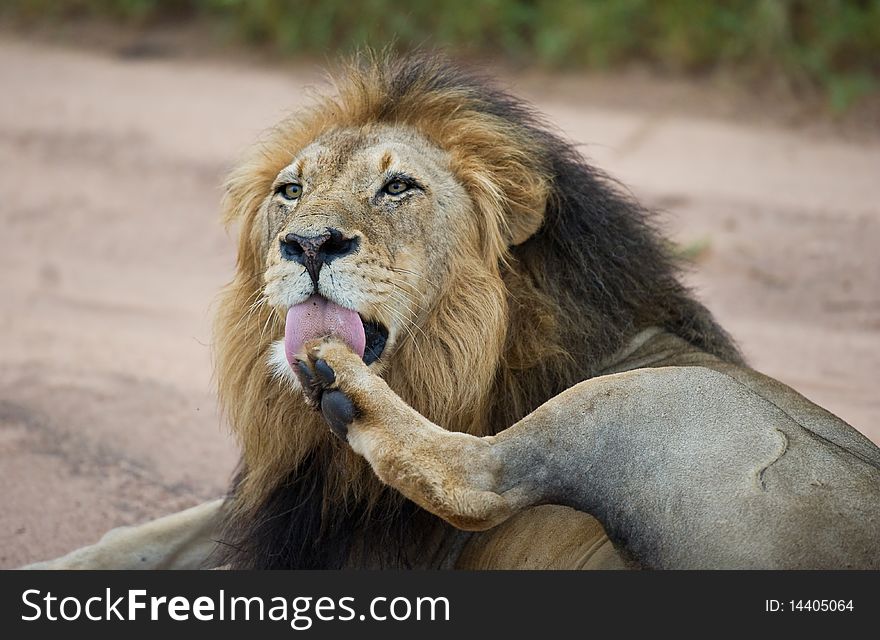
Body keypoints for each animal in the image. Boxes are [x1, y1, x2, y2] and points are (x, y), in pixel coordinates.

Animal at [27, 51, 880, 568]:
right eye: (290, 190)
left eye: (398, 187)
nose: (308, 244)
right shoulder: (295, 509)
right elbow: (139, 536)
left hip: (664, 403)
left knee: (481, 475)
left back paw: (343, 384)